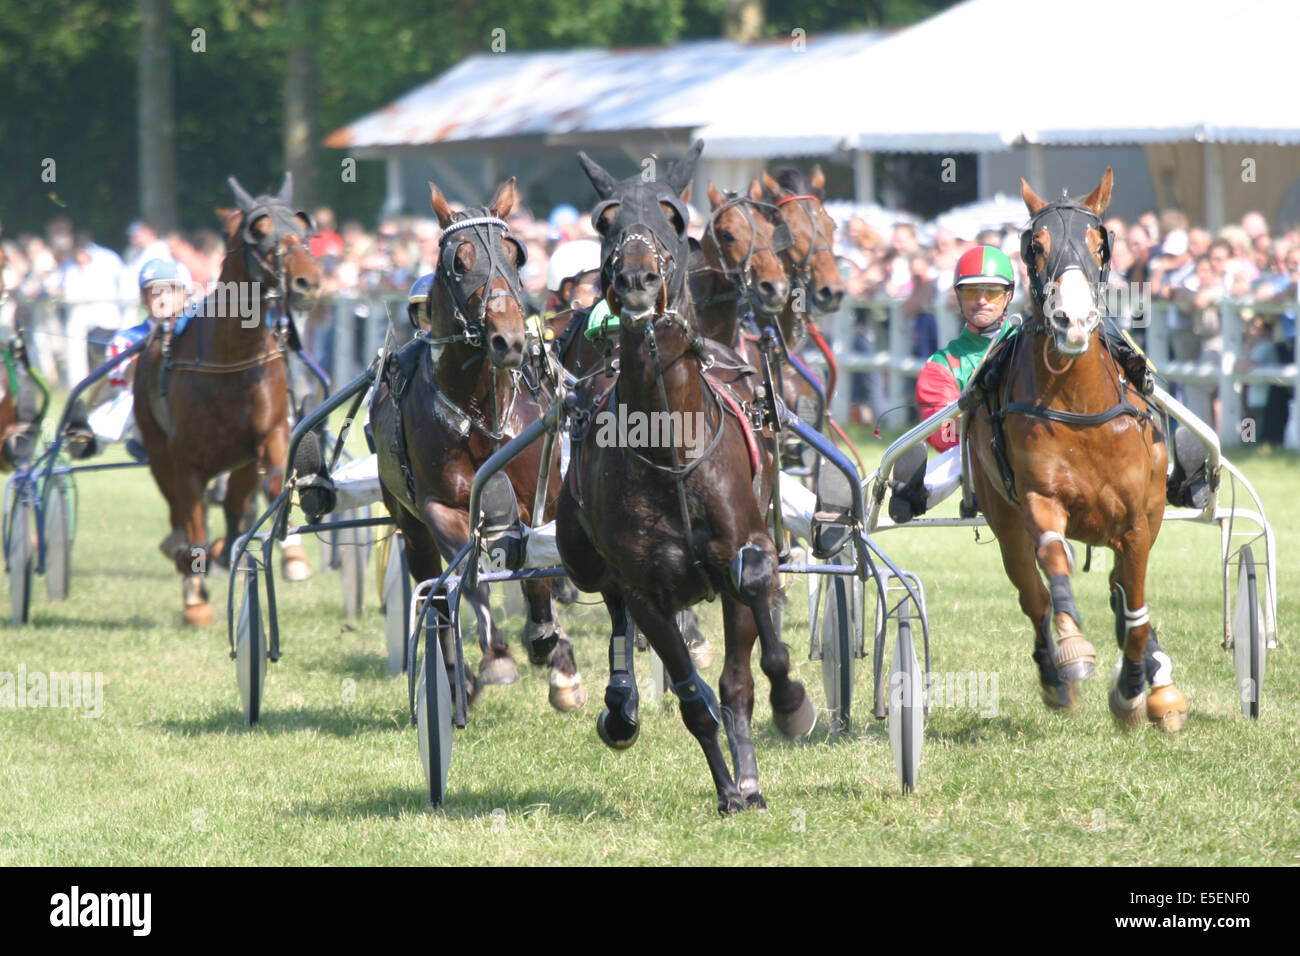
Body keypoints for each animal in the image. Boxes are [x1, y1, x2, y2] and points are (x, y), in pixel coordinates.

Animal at [131, 174, 322, 624]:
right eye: (260, 231)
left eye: (303, 229)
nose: (307, 282)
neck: (232, 356)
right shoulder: (185, 462)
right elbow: (193, 526)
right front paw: (195, 596)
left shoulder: (270, 434)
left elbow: (274, 482)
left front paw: (284, 555)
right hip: (158, 450)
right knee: (180, 514)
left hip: (240, 461)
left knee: (236, 505)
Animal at [371, 178, 585, 712]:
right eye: (459, 261)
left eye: (514, 252)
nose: (508, 340)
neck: (481, 415)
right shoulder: (441, 508)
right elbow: (468, 583)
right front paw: (498, 657)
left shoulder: (543, 498)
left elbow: (540, 568)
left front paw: (553, 651)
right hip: (408, 522)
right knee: (435, 588)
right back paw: (457, 676)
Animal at [556, 141, 816, 816]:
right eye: (605, 220)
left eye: (674, 216)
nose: (636, 278)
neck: (670, 447)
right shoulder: (646, 586)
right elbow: (694, 696)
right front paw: (728, 788)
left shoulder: (741, 550)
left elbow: (746, 664)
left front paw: (779, 723)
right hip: (582, 553)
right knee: (611, 601)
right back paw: (621, 705)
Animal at [967, 167, 1190, 728]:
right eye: (1036, 246)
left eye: (1099, 243)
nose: (1072, 319)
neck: (1082, 406)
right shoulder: (1038, 498)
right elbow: (1053, 564)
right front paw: (1072, 649)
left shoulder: (1139, 520)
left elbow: (1134, 608)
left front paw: (1135, 690)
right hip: (1000, 514)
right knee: (1032, 593)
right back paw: (1055, 676)